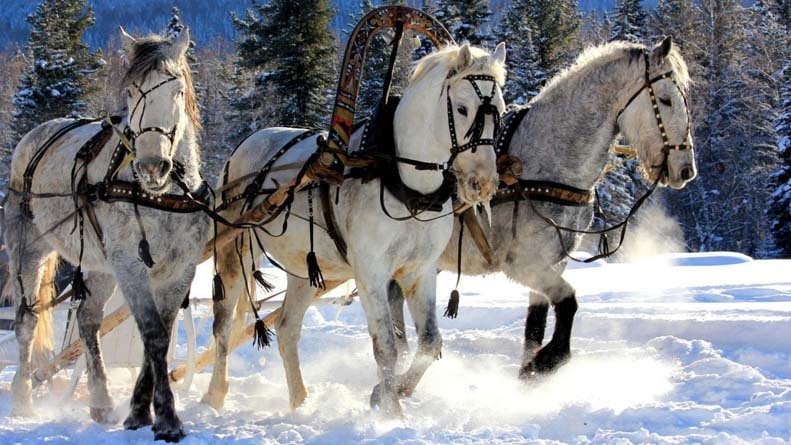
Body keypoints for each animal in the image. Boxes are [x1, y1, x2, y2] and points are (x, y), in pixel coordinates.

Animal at [4, 30, 209, 440]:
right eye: (131, 91)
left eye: (177, 89)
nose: (152, 165)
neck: (159, 195)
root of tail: (35, 136)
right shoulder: (130, 265)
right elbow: (153, 333)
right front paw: (166, 418)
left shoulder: (180, 270)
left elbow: (159, 336)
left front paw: (138, 411)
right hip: (27, 249)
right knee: (26, 322)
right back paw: (22, 397)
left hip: (98, 263)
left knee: (87, 318)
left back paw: (100, 401)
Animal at [207, 43, 508, 414]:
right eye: (463, 108)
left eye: (500, 111)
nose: (483, 183)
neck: (404, 183)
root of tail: (245, 143)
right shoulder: (371, 272)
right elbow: (387, 348)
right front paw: (391, 412)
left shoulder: (419, 272)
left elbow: (429, 342)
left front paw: (393, 391)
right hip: (235, 251)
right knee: (222, 327)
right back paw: (215, 395)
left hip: (304, 269)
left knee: (288, 329)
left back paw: (300, 401)